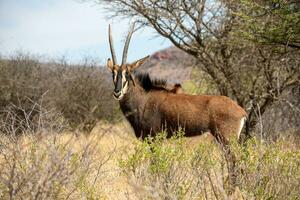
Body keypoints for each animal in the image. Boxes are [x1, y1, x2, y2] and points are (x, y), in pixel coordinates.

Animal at [106, 23, 247, 145]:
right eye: (113, 74)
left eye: (128, 74)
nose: (117, 93)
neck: (143, 99)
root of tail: (241, 111)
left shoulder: (155, 139)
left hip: (226, 139)